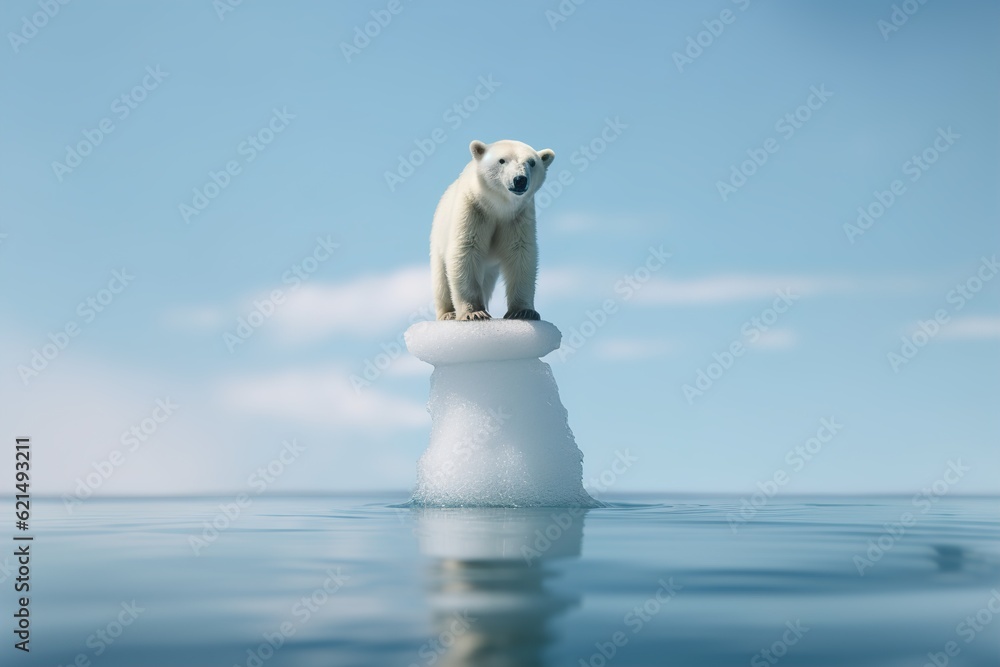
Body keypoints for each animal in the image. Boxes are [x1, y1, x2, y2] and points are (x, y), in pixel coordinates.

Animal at [430, 139, 555, 321]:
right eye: (502, 160)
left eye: (532, 162)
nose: (520, 180)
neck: (497, 206)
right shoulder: (473, 209)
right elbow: (465, 250)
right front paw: (474, 313)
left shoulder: (518, 217)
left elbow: (520, 253)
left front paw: (524, 311)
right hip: (438, 238)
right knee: (441, 279)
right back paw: (448, 313)